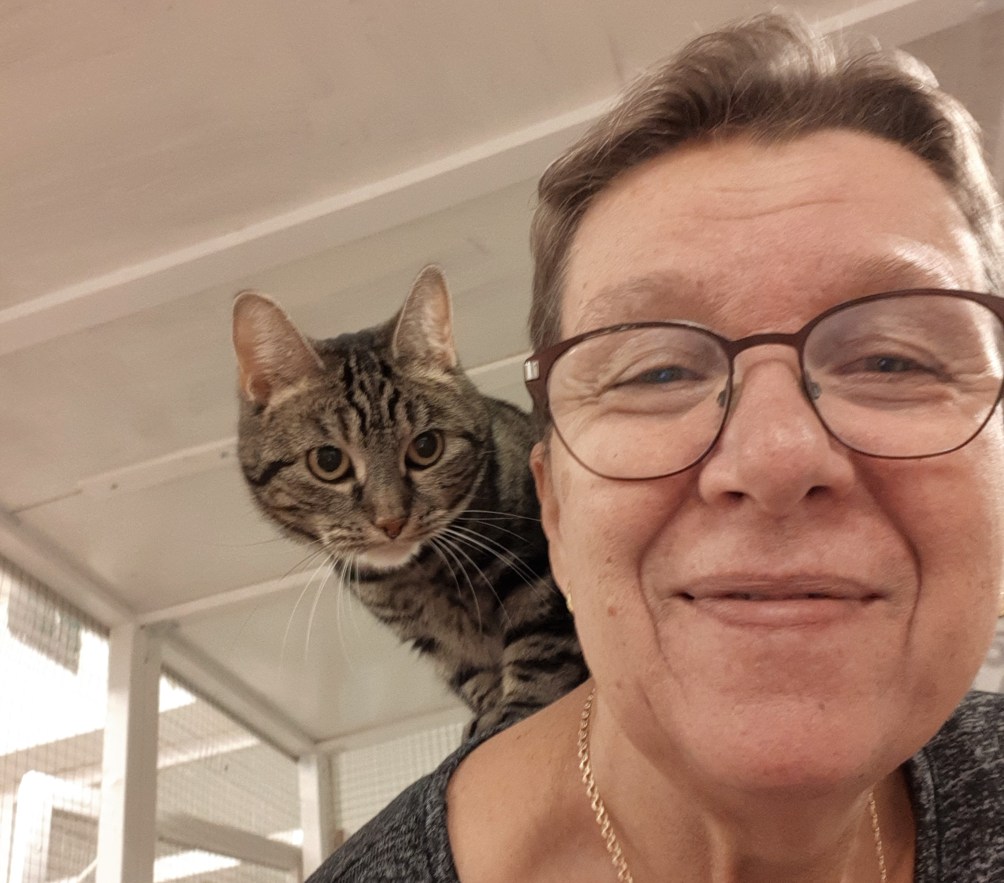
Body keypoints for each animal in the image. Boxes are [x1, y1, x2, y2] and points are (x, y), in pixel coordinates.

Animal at [231, 266, 587, 735]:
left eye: (426, 447)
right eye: (328, 461)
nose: (391, 520)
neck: (421, 577)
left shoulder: (535, 571)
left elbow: (543, 649)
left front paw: (520, 710)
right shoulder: (437, 641)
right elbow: (474, 676)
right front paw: (488, 714)